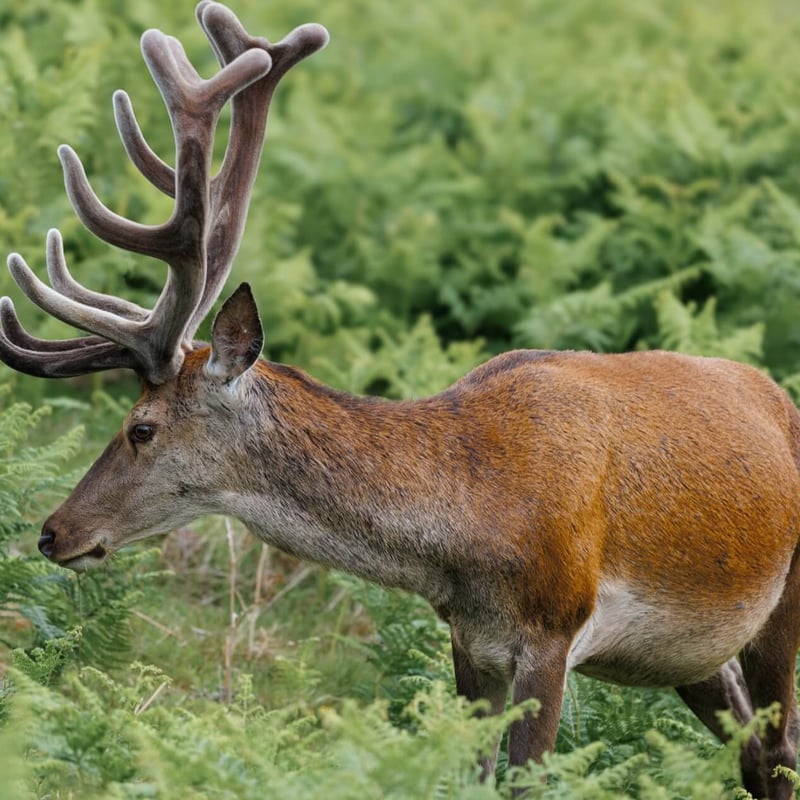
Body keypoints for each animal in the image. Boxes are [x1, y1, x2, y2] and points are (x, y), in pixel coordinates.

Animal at [1, 3, 799, 798]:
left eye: (142, 427)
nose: (53, 533)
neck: (475, 519)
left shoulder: (554, 627)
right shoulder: (472, 644)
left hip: (782, 603)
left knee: (780, 747)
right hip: (690, 654)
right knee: (753, 749)